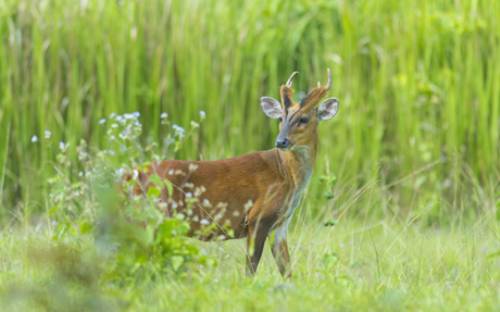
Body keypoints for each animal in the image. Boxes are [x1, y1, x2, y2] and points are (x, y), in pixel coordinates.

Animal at [129, 69, 340, 276]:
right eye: (281, 118)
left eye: (304, 119)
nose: (281, 141)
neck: (286, 175)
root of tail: (131, 174)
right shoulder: (258, 216)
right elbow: (250, 269)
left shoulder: (280, 224)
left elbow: (287, 271)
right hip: (153, 213)